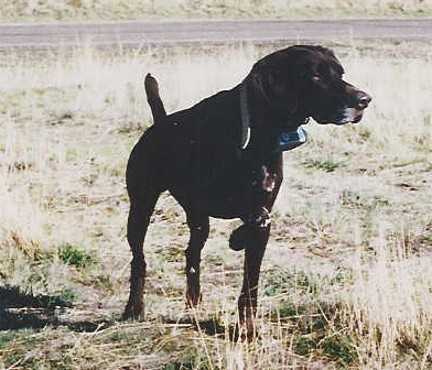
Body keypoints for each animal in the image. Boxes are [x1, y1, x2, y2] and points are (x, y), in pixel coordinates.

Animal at [121, 44, 372, 336]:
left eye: (340, 73)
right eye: (315, 76)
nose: (364, 100)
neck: (259, 130)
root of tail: (160, 123)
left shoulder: (258, 211)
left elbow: (251, 278)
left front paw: (247, 329)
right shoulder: (219, 198)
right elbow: (252, 217)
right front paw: (236, 239)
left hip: (198, 221)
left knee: (192, 253)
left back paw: (193, 301)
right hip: (141, 207)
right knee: (139, 260)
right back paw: (134, 308)